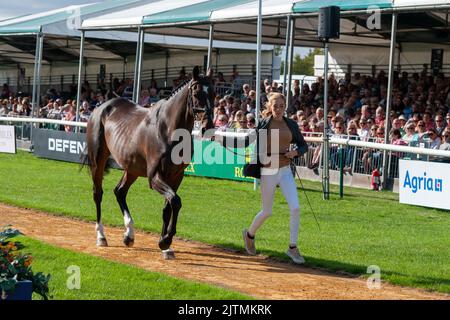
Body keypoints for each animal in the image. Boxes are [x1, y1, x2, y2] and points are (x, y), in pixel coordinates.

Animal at [86, 66, 216, 256]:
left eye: (213, 93)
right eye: (196, 92)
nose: (209, 126)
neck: (169, 129)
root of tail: (101, 106)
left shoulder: (176, 175)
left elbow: (168, 206)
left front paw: (165, 245)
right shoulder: (154, 177)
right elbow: (175, 201)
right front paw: (165, 240)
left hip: (132, 168)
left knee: (120, 191)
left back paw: (129, 235)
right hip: (98, 161)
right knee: (98, 193)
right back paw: (101, 236)